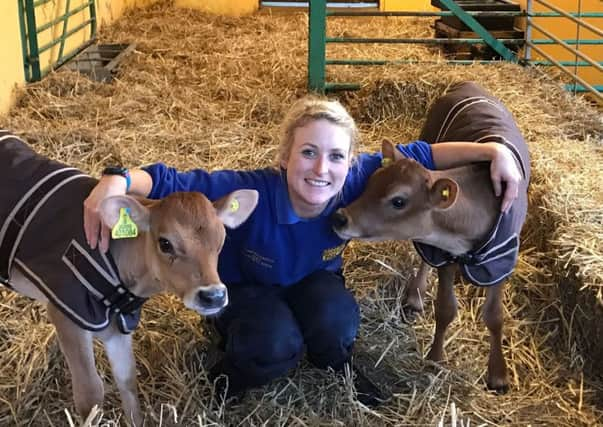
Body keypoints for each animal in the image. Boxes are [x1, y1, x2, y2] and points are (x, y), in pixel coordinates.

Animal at [0, 133, 258, 424]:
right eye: (165, 243)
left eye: (221, 239)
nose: (213, 295)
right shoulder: (68, 315)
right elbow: (91, 395)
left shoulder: (118, 324)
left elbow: (127, 379)